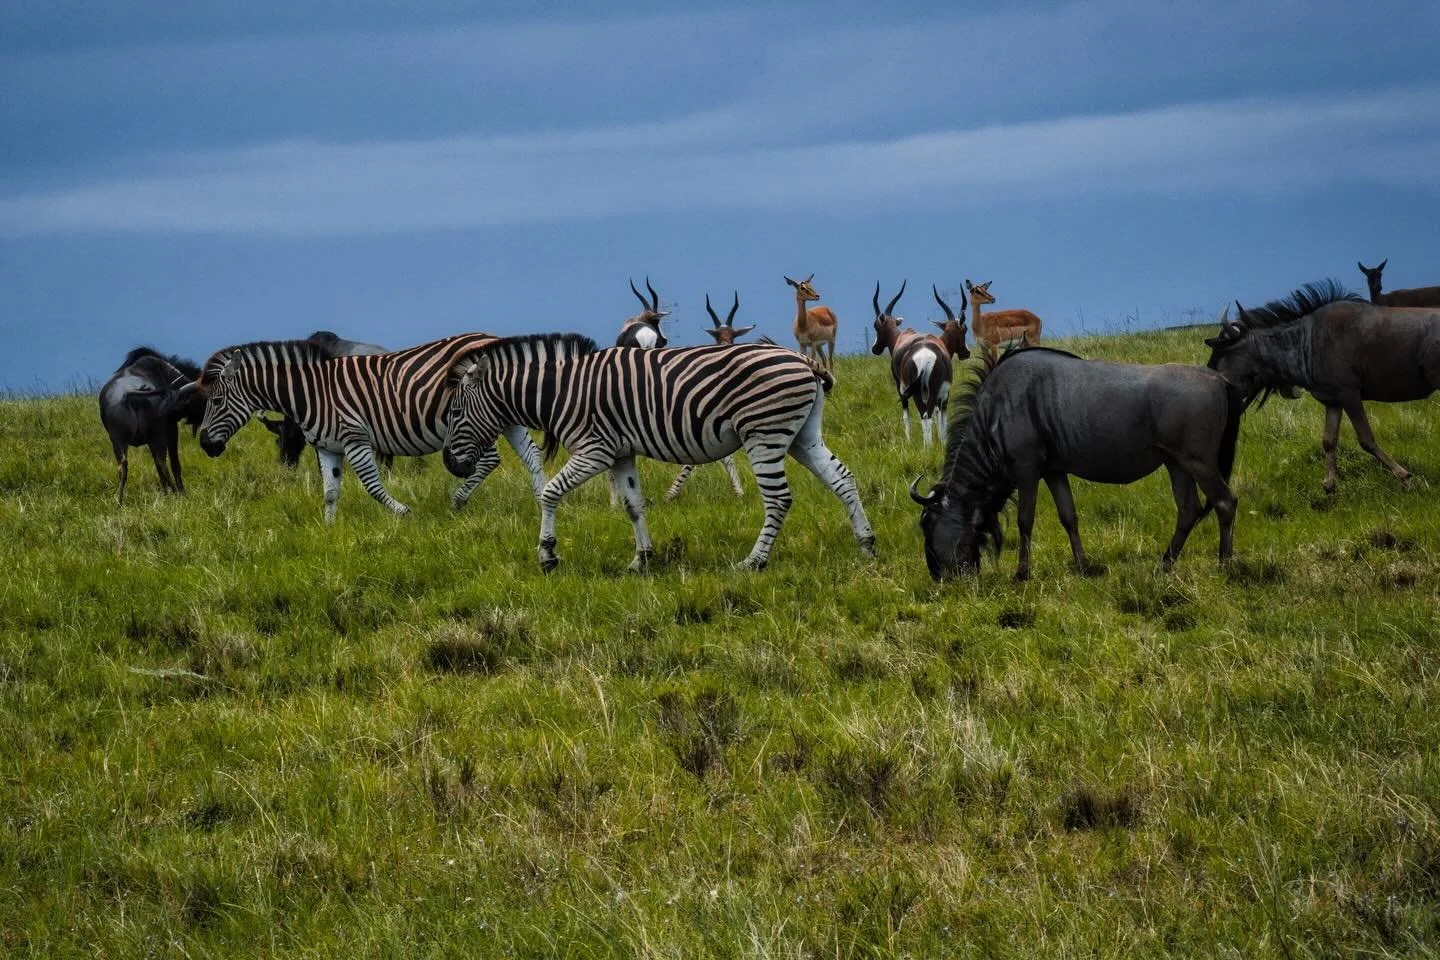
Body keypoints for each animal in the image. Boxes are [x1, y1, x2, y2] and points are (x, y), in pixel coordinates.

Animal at [196, 334, 545, 521]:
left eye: (216, 401)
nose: (203, 444)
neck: (312, 393)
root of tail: (492, 338)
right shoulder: (327, 447)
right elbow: (330, 492)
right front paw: (329, 533)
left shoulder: (356, 439)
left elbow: (373, 486)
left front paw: (403, 513)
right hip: (506, 415)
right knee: (532, 456)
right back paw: (541, 500)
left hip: (475, 421)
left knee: (491, 459)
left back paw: (458, 501)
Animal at [443, 332, 876, 572]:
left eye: (455, 412)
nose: (449, 463)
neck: (560, 391)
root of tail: (801, 358)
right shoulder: (620, 453)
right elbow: (634, 505)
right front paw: (642, 559)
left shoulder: (595, 450)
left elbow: (550, 493)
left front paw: (547, 555)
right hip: (802, 435)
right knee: (842, 478)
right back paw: (866, 545)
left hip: (763, 433)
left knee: (779, 499)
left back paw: (754, 562)